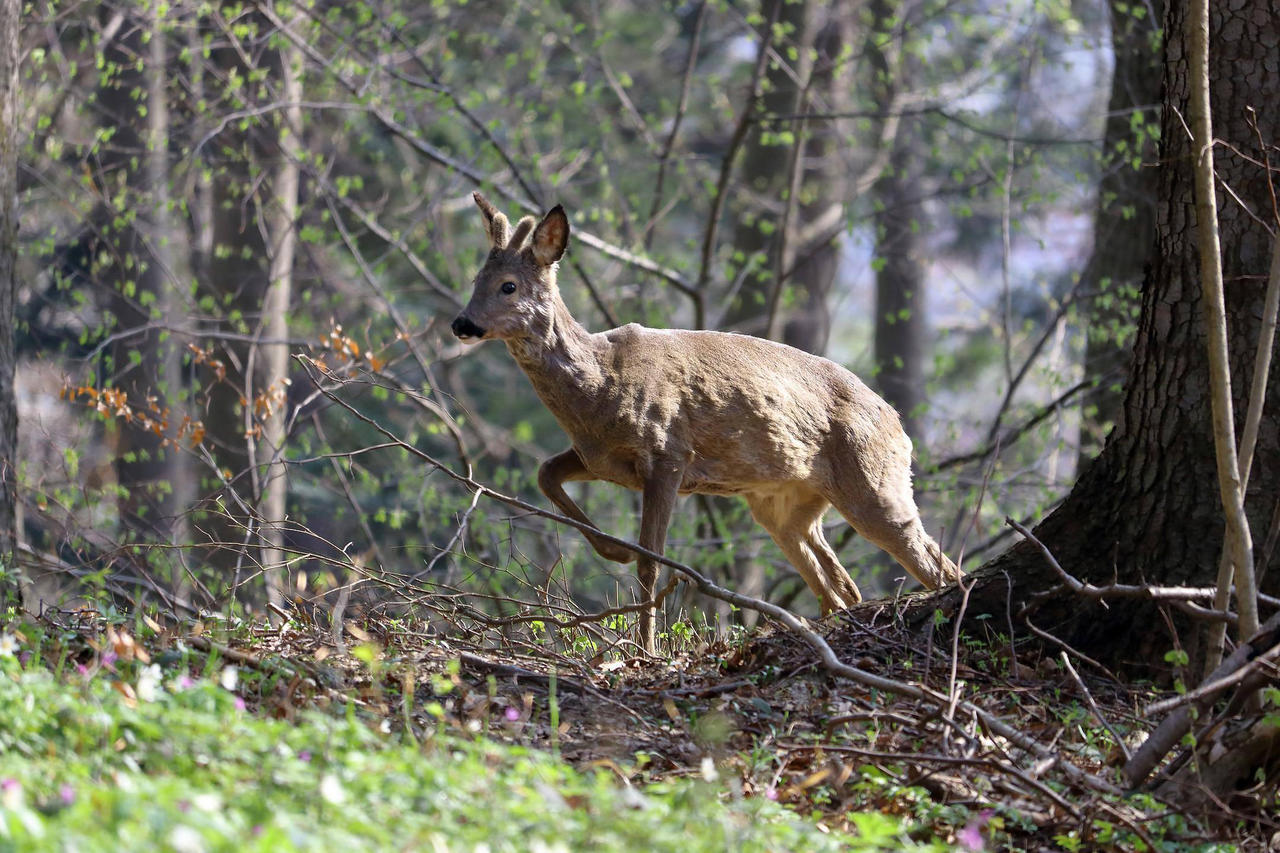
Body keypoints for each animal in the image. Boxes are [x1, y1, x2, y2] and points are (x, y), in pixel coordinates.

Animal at [453, 194, 962, 650]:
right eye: (477, 278)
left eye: (508, 285)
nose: (462, 324)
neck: (600, 386)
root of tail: (899, 424)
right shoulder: (598, 457)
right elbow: (544, 472)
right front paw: (614, 550)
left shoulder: (668, 453)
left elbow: (651, 561)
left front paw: (645, 650)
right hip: (784, 503)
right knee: (841, 586)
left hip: (874, 480)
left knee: (934, 564)